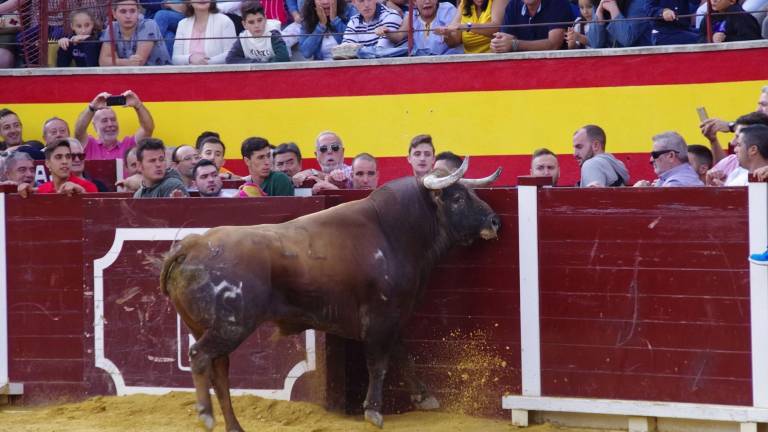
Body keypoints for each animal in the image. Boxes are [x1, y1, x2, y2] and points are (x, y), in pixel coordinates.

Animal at [159, 159, 500, 432]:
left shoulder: (393, 317)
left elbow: (403, 354)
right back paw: (206, 415)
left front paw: (424, 397)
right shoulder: (380, 316)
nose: (494, 221)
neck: (393, 232)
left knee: (220, 372)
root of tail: (192, 244)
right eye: (457, 197)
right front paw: (373, 411)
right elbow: (380, 363)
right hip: (231, 326)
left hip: (206, 327)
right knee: (199, 357)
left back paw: (234, 426)